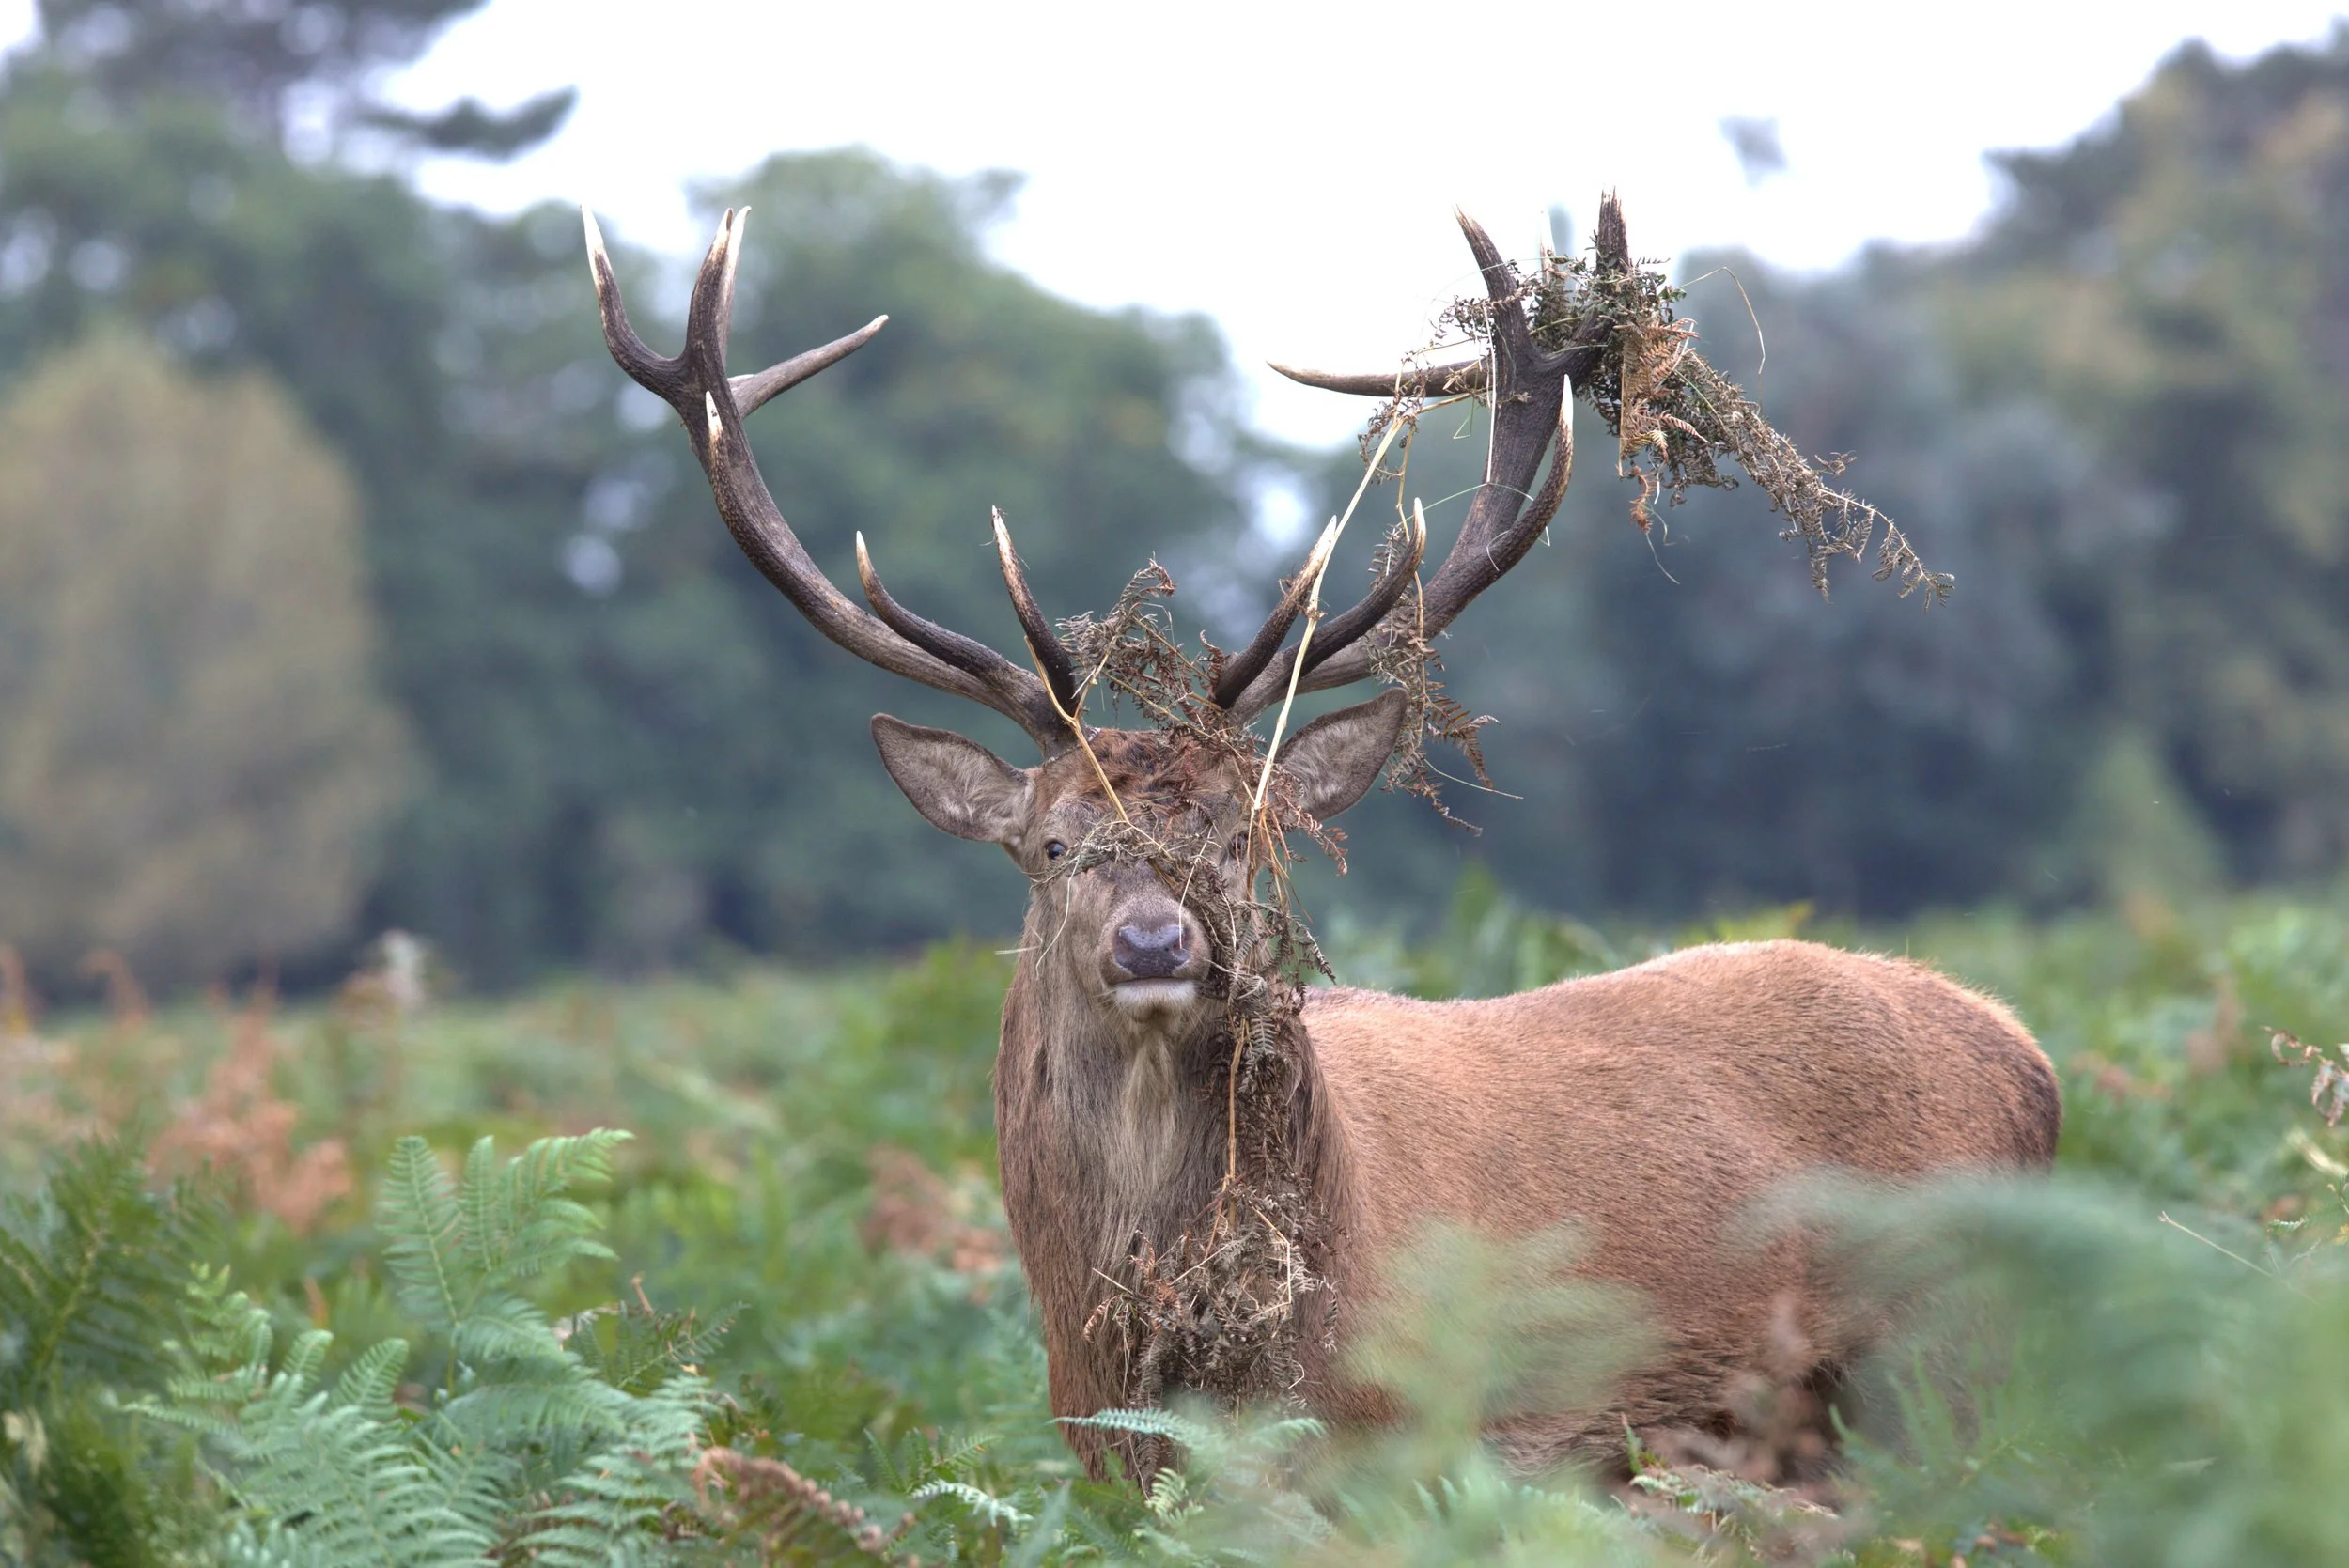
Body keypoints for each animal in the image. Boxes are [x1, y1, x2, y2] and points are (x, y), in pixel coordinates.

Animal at [582, 200, 2063, 1481]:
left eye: (1248, 840)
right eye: (1053, 844)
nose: (1156, 941)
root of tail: (2031, 1056)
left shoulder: (1442, 1452)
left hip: (1940, 1370)